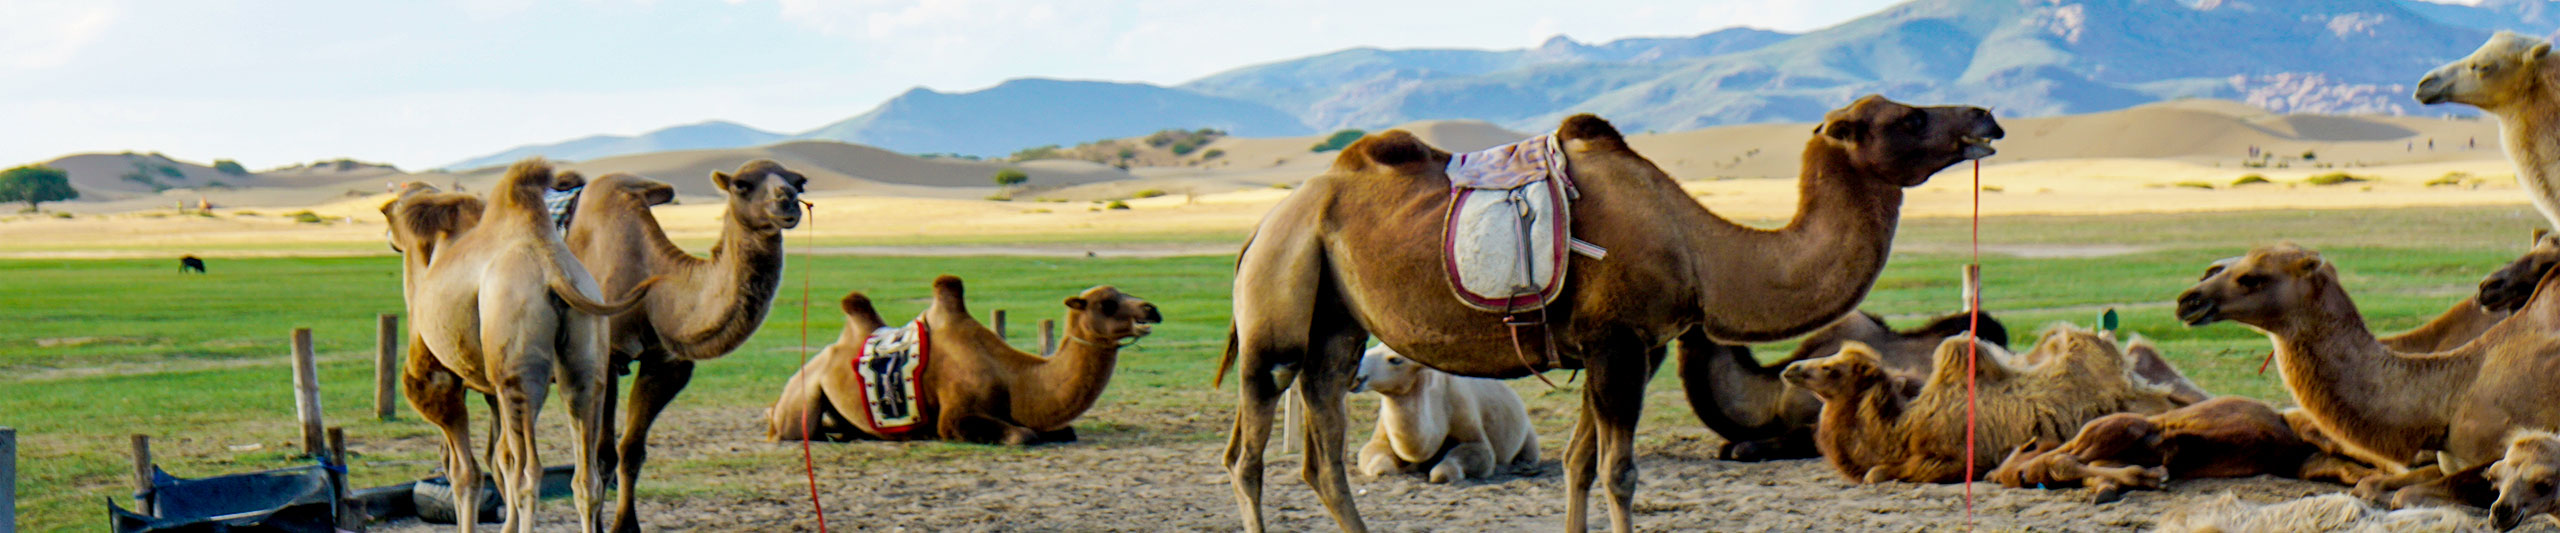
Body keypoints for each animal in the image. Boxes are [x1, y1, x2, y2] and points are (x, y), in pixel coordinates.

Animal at [382, 160, 654, 533]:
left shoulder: (436, 382)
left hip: (518, 371)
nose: (388, 236)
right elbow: (500, 458)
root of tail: (552, 269)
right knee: (584, 476)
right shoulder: (490, 389)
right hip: (583, 363)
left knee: (529, 473)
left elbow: (465, 473)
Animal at [561, 162, 802, 532]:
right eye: (742, 185)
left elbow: (632, 451)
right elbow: (602, 456)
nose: (787, 201)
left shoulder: (666, 364)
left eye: (799, 182)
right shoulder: (607, 359)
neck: (652, 284)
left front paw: (627, 526)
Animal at [767, 276, 1159, 443]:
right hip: (802, 399)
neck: (1013, 377)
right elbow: (1023, 436)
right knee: (797, 430)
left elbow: (1063, 431)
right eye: (1106, 303)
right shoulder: (956, 414)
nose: (1151, 309)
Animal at [1350, 344, 1539, 483]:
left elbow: (1456, 466)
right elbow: (1377, 463)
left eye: (1395, 360)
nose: (1355, 377)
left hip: (1529, 437)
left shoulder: (1470, 427)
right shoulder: (1381, 435)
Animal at [2177, 244, 2560, 500]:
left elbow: (2406, 494)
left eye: (2251, 278)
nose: (2188, 300)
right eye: (2223, 268)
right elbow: (2373, 484)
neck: (2449, 395)